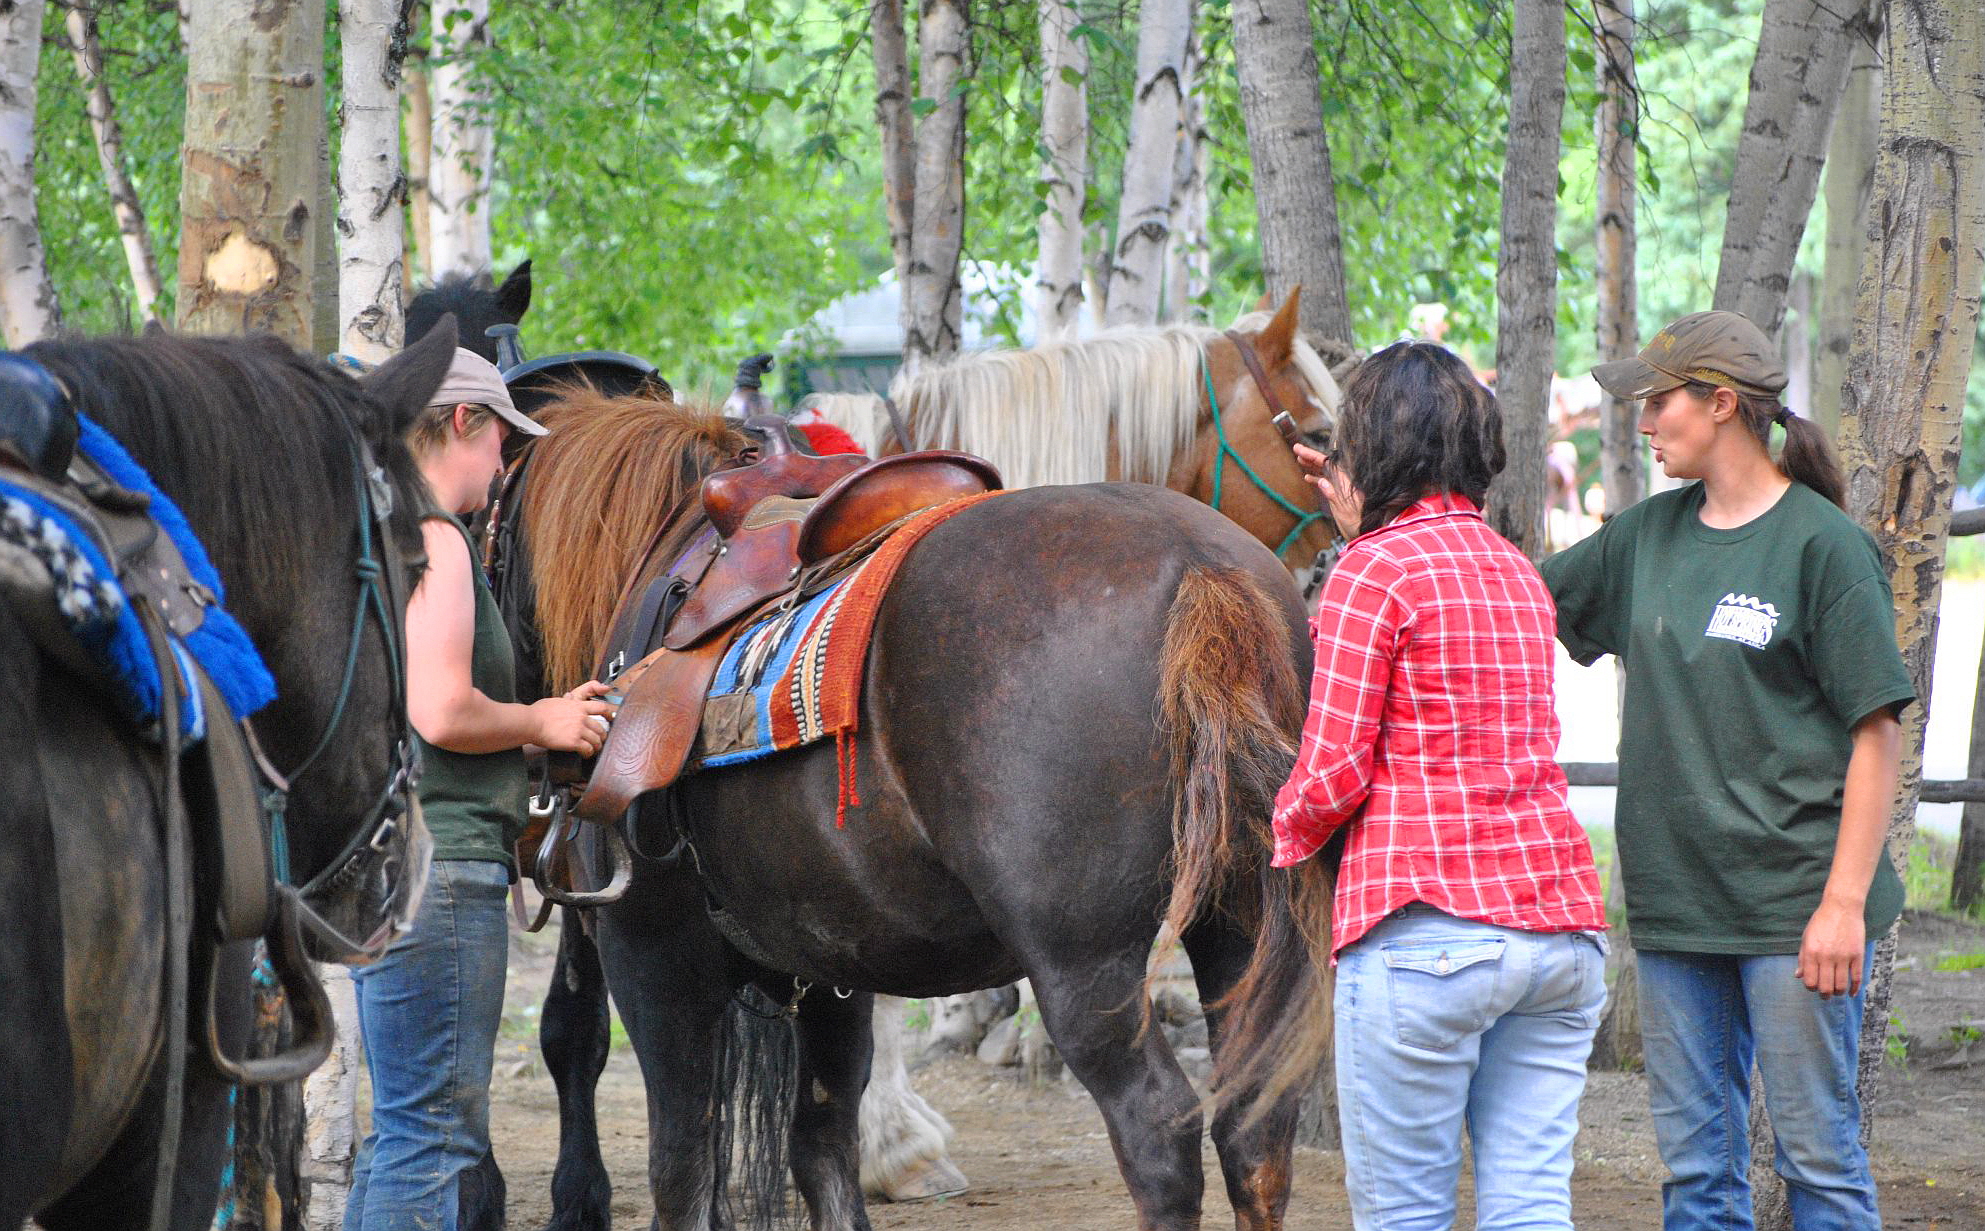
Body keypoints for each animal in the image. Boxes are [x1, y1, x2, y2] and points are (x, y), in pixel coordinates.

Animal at [500, 379, 1333, 1223]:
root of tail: (1202, 569)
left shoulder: (652, 952)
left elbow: (681, 1163)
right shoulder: (828, 963)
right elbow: (822, 1147)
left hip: (1087, 963)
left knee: (1159, 1128)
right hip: (1245, 924)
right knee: (1253, 1124)